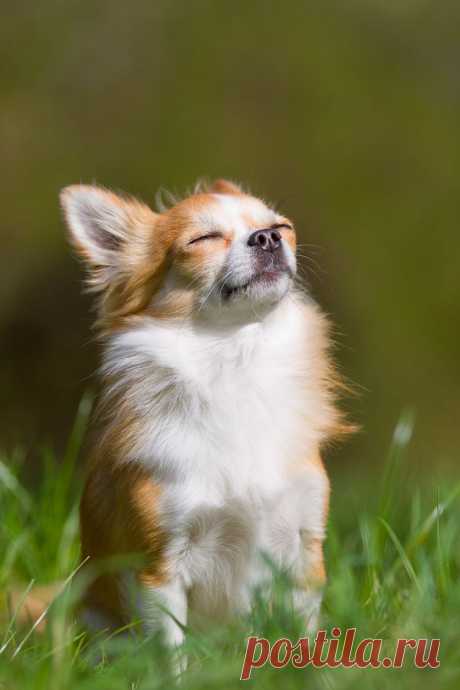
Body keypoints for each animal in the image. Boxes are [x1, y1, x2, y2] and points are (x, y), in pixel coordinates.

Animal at [61, 177, 348, 644]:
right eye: (204, 239)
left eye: (283, 227)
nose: (267, 238)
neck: (235, 362)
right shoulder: (159, 570)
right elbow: (171, 650)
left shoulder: (306, 552)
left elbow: (304, 634)